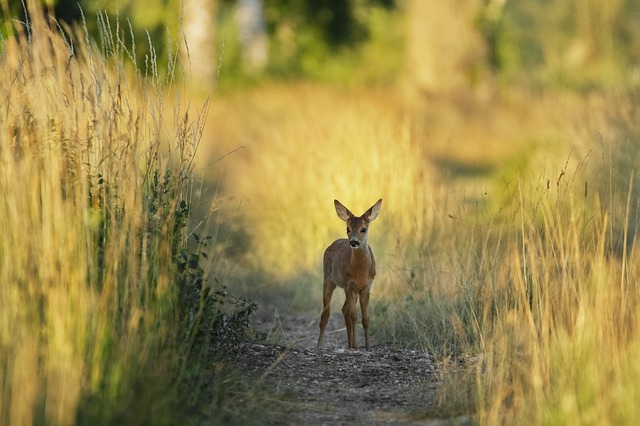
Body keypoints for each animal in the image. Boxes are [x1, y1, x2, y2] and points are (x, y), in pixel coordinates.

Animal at [317, 199, 382, 350]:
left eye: (363, 229)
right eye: (348, 229)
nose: (353, 242)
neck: (360, 271)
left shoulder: (366, 287)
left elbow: (365, 318)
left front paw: (367, 347)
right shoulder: (349, 285)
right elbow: (354, 316)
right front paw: (357, 346)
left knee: (344, 309)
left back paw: (350, 344)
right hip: (328, 278)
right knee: (326, 314)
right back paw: (319, 346)